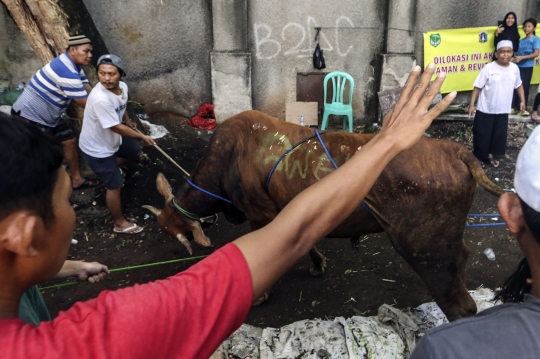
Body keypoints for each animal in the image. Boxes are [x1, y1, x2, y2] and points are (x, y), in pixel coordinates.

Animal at [142, 110, 502, 324]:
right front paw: (318, 263)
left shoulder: (261, 214)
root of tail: (457, 150)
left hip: (426, 247)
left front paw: (261, 295)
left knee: (460, 302)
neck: (224, 163)